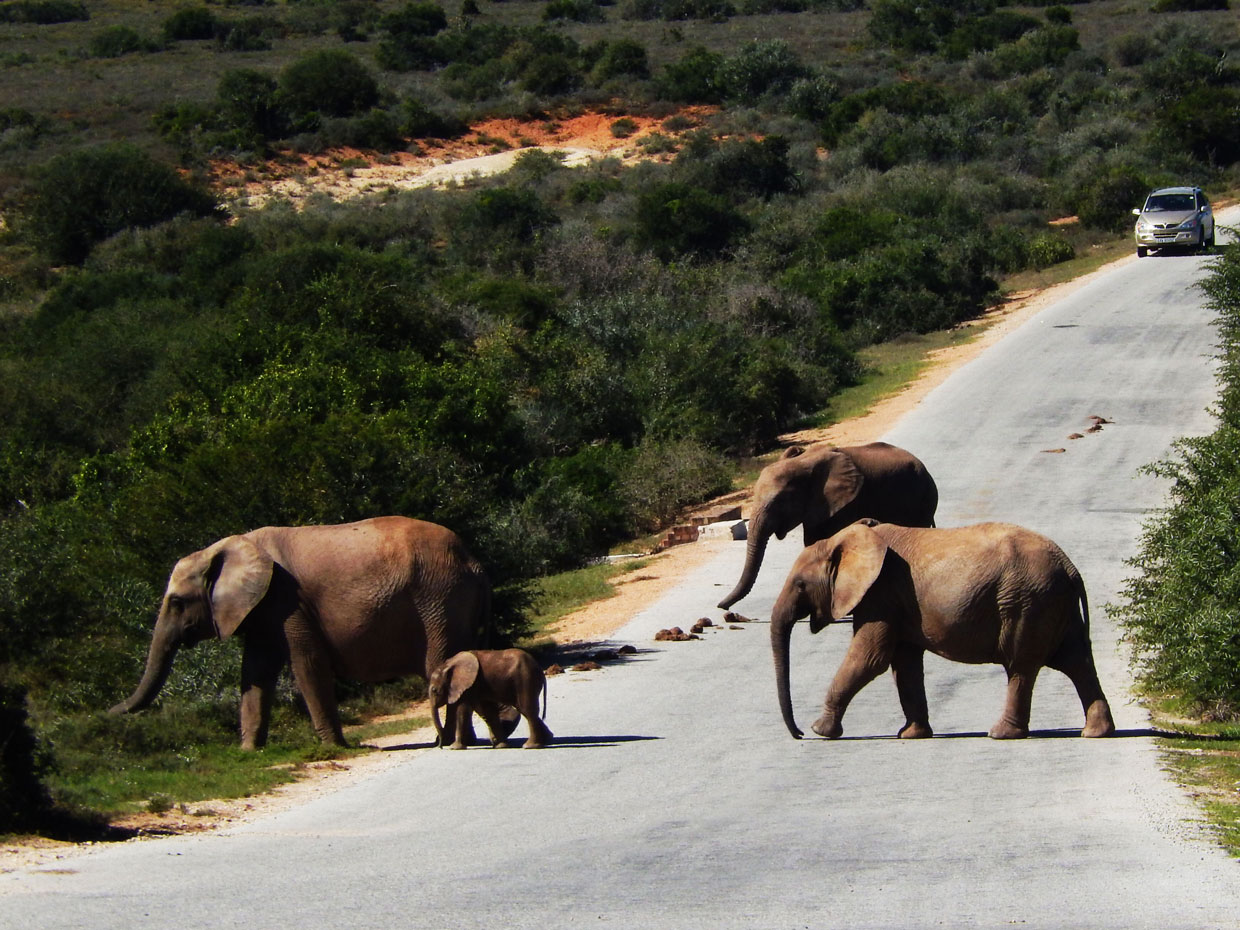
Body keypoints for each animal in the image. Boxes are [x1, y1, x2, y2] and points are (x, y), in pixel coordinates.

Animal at [109, 516, 495, 750]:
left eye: (176, 602)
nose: (107, 715)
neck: (228, 547)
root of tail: (475, 562)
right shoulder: (264, 610)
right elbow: (255, 672)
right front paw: (249, 751)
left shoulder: (286, 600)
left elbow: (307, 664)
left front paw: (332, 748)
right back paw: (465, 741)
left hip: (441, 600)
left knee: (440, 663)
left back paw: (448, 742)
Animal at [717, 442, 938, 610]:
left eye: (780, 502)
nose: (722, 607)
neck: (802, 463)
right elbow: (814, 543)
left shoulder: (846, 503)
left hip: (925, 498)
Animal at [769, 520, 1116, 741]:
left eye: (800, 585)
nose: (799, 733)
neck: (847, 539)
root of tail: (1070, 567)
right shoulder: (896, 601)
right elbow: (904, 663)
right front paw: (911, 736)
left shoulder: (881, 594)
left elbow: (870, 658)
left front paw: (821, 731)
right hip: (1053, 604)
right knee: (1076, 661)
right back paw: (1096, 733)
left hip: (1027, 603)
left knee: (1021, 667)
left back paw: (1000, 734)